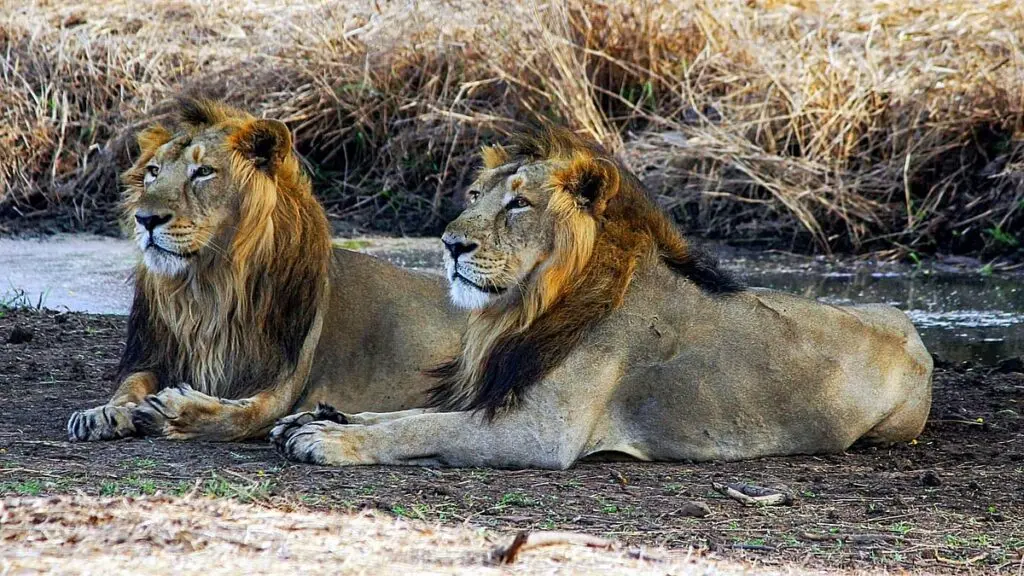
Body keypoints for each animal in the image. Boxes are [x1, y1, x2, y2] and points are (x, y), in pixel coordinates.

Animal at [67, 98, 463, 442]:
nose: (145, 219)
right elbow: (130, 382)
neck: (209, 285)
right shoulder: (157, 354)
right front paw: (104, 412)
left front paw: (175, 410)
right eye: (153, 172)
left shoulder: (282, 385)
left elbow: (241, 415)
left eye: (203, 172)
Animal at [269, 127, 934, 469]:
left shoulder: (541, 435)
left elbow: (422, 428)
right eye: (477, 194)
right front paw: (321, 417)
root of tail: (910, 325)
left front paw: (332, 440)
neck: (523, 308)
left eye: (519, 203)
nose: (451, 243)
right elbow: (410, 413)